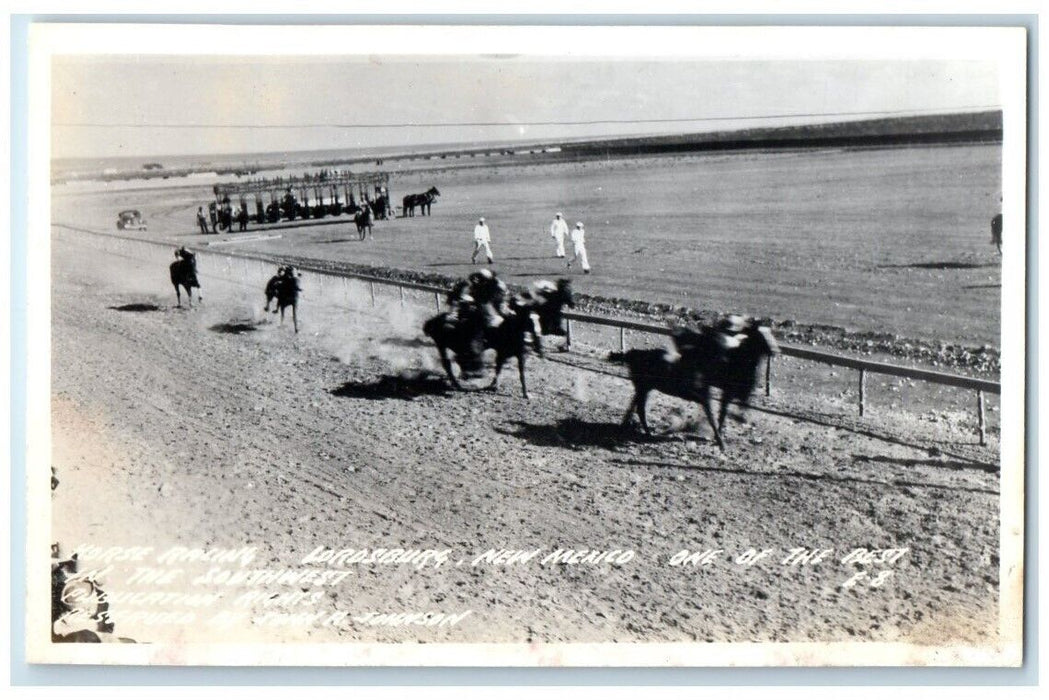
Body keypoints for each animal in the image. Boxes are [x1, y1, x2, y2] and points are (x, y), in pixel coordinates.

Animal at [608, 316, 780, 449]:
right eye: (760, 334)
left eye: (771, 333)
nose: (775, 351)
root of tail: (632, 353)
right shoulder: (717, 394)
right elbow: (718, 415)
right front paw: (719, 439)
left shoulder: (730, 392)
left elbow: (728, 412)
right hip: (643, 386)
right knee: (639, 408)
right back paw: (643, 431)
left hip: (644, 387)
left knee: (635, 405)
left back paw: (630, 427)